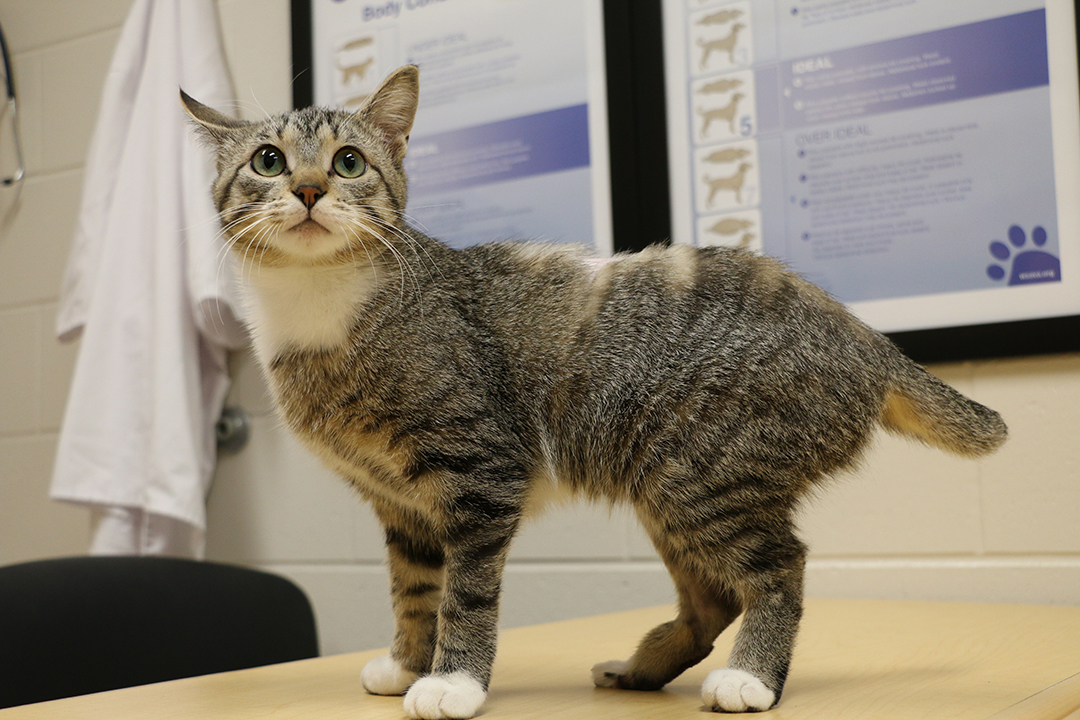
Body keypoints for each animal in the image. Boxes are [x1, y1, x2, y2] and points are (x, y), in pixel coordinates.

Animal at [183, 64, 1002, 716]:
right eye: (267, 160)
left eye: (349, 162)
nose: (310, 188)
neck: (320, 308)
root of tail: (864, 336)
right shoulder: (401, 503)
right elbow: (415, 589)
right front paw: (410, 663)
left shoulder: (481, 471)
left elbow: (464, 592)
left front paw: (452, 682)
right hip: (668, 486)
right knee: (713, 595)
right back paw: (643, 667)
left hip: (705, 475)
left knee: (778, 568)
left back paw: (751, 679)